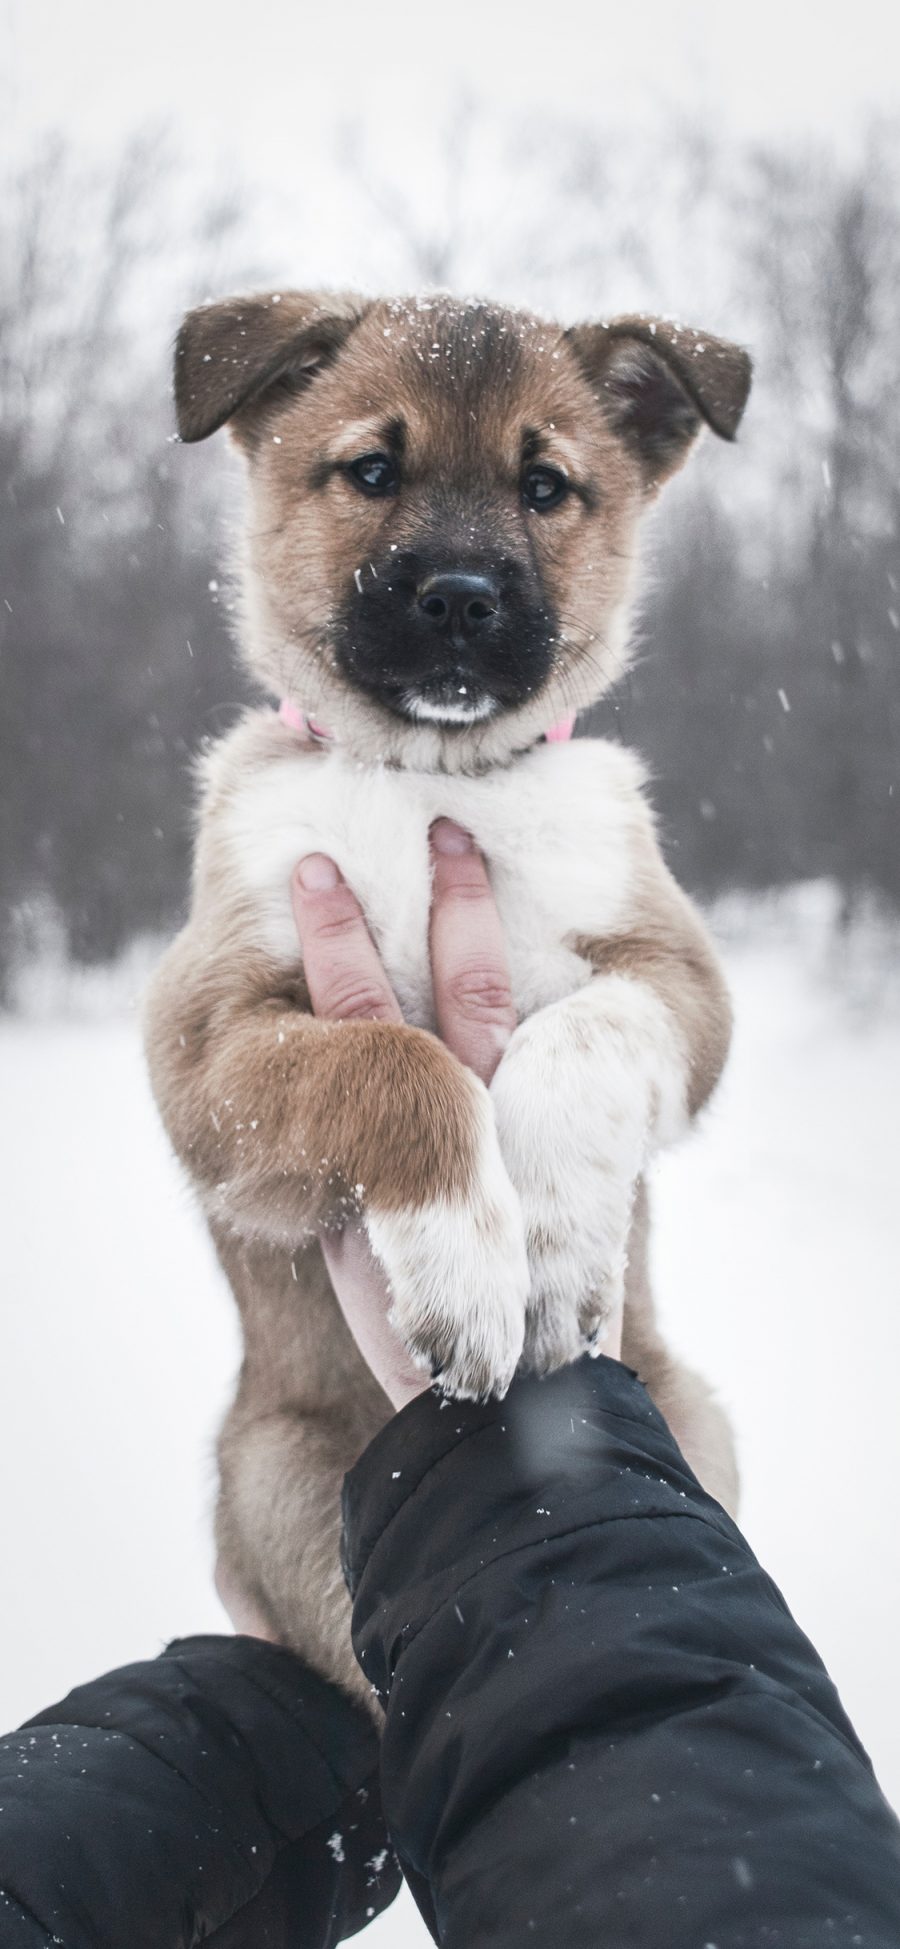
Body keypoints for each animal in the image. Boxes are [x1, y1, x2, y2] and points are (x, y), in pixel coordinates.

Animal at [146, 288, 751, 1707]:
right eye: (374, 469)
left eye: (546, 486)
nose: (463, 599)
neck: (435, 778)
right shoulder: (203, 1039)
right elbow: (395, 1064)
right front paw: (470, 1269)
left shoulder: (678, 977)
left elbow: (577, 1034)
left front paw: (555, 1244)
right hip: (273, 1474)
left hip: (698, 1415)